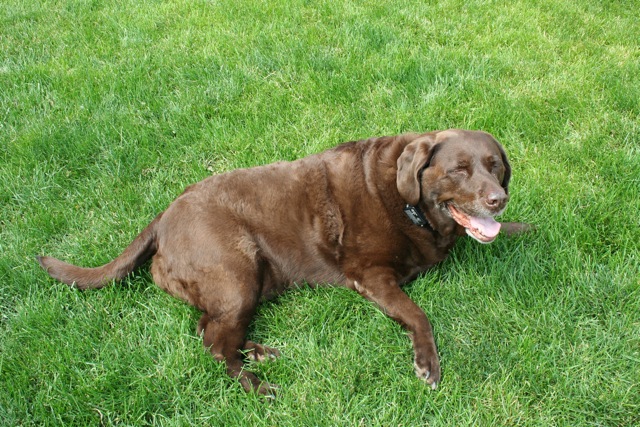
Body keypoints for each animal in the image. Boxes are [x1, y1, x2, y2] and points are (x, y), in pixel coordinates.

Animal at [38, 129, 528, 395]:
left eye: (495, 165)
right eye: (459, 169)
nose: (497, 199)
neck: (408, 203)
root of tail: (162, 217)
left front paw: (525, 226)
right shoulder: (371, 276)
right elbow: (417, 313)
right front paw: (427, 363)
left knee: (208, 328)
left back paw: (261, 353)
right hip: (236, 272)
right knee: (213, 344)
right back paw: (257, 384)